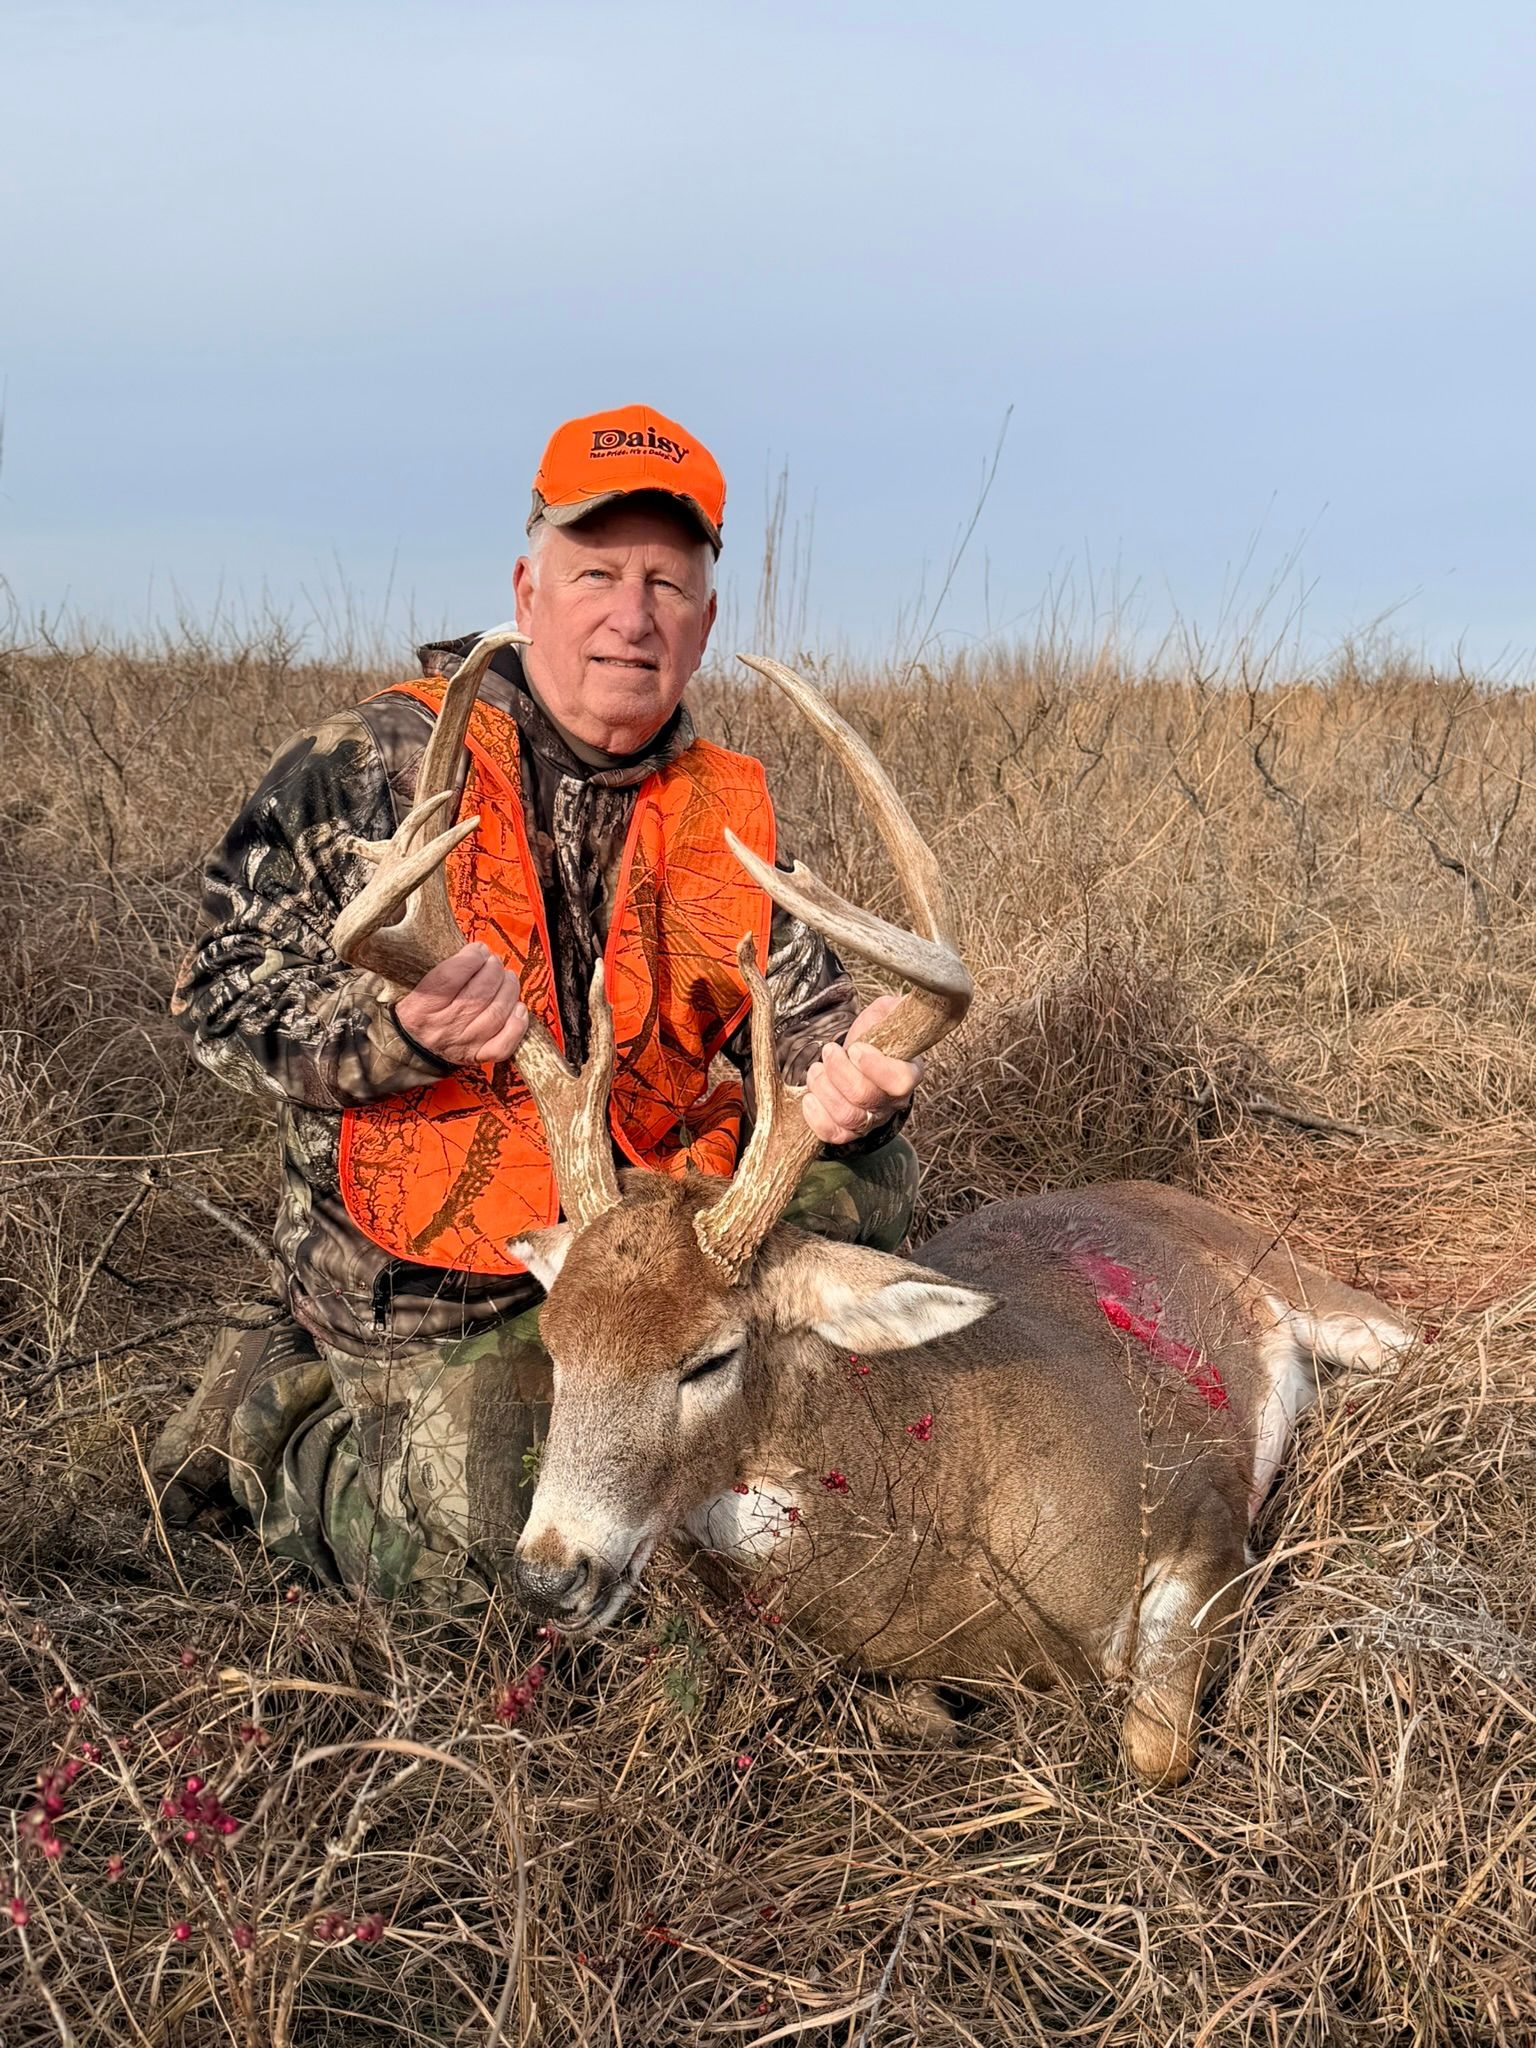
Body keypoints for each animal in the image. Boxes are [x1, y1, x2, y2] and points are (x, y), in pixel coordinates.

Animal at [333, 625, 1412, 1783]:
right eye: (558, 1344)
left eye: (709, 1356)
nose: (550, 1573)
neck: (939, 1497)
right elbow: (911, 1712)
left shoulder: (1199, 1510)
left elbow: (1152, 1741)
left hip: (1325, 1294)